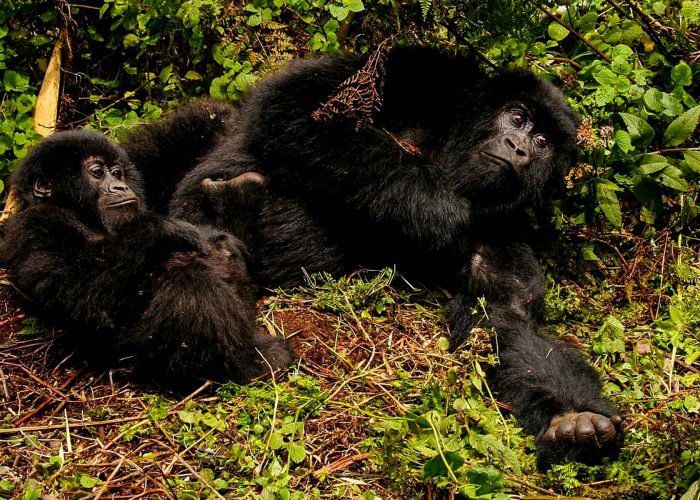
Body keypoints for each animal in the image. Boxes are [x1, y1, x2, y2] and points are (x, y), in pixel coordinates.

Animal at [0, 130, 292, 386]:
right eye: (97, 173)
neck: (79, 213)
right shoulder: (34, 226)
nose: (120, 185)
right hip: (130, 355)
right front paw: (162, 228)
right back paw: (247, 363)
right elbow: (81, 295)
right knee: (191, 279)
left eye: (117, 173)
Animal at [124, 47, 624, 468]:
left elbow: (505, 319)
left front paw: (571, 418)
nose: (519, 149)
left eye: (542, 142)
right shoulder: (429, 73)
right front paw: (438, 208)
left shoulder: (501, 233)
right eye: (517, 118)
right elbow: (300, 105)